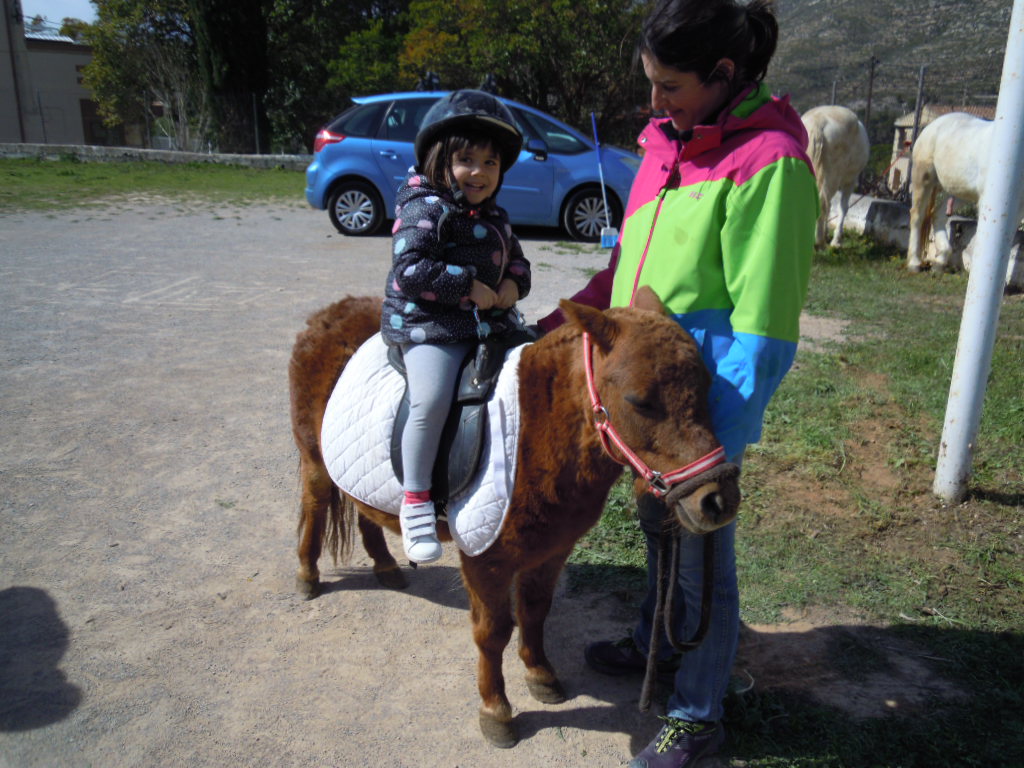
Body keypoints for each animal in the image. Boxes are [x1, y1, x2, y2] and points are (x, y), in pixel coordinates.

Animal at [288, 288, 741, 748]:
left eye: (708, 389)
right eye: (639, 401)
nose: (718, 500)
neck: (536, 432)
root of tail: (331, 313)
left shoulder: (552, 550)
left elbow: (534, 612)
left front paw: (540, 675)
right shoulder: (485, 558)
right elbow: (492, 634)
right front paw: (496, 710)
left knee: (364, 511)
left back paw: (385, 566)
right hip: (315, 462)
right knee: (316, 505)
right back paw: (308, 575)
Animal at [801, 105, 870, 248]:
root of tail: (818, 123)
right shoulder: (850, 181)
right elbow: (843, 207)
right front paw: (836, 240)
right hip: (832, 175)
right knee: (822, 202)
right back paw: (819, 241)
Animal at [907, 111, 1024, 283]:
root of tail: (935, 123)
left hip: (958, 192)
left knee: (938, 215)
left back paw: (940, 262)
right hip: (924, 177)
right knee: (917, 215)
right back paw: (914, 263)